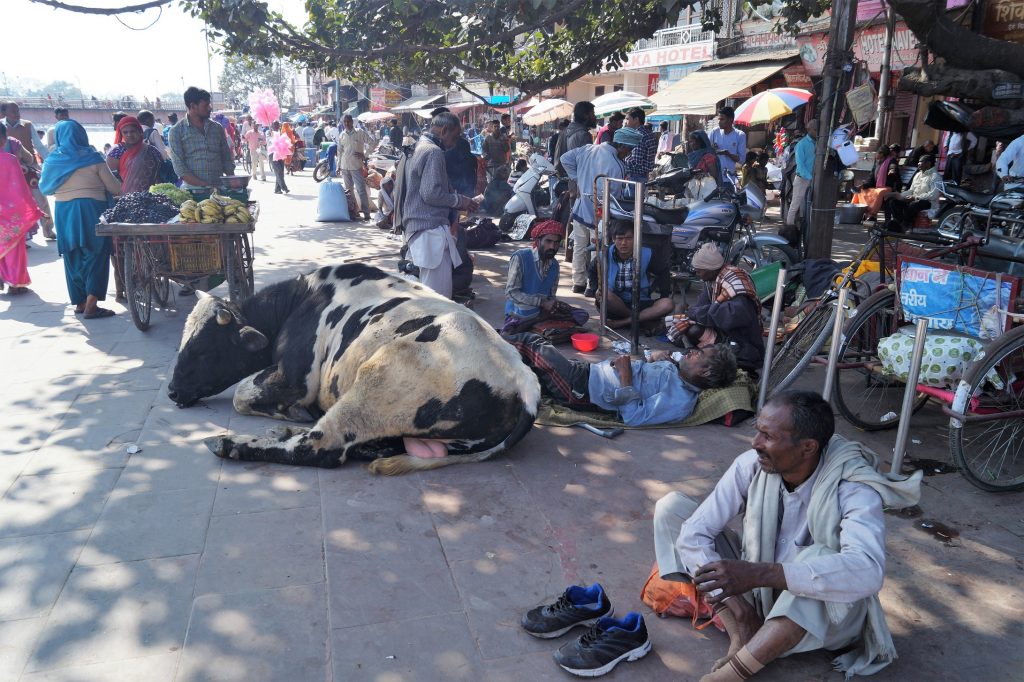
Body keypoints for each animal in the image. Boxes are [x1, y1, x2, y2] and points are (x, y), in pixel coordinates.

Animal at [165, 261, 544, 473]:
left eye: (202, 350)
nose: (171, 390)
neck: (302, 300)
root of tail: (524, 379)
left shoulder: (296, 379)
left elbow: (242, 394)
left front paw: (289, 412)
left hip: (377, 382)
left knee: (321, 449)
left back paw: (232, 444)